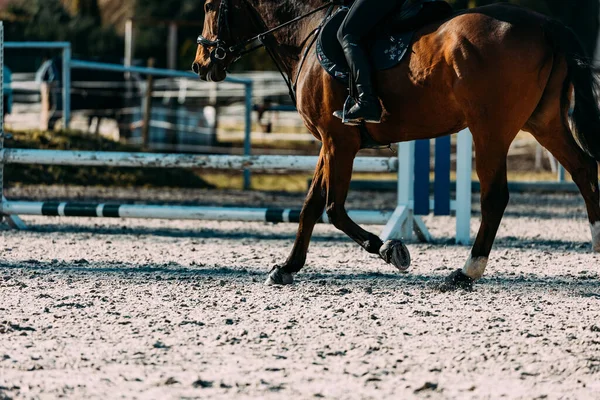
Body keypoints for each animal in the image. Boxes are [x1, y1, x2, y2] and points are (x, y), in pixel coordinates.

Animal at [192, 0, 600, 288]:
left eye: (210, 6)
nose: (200, 64)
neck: (306, 30)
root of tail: (544, 24)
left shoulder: (339, 141)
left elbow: (333, 209)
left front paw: (391, 249)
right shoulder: (329, 142)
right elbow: (310, 206)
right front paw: (287, 267)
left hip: (490, 129)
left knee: (496, 196)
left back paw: (465, 272)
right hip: (542, 123)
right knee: (583, 168)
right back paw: (596, 242)